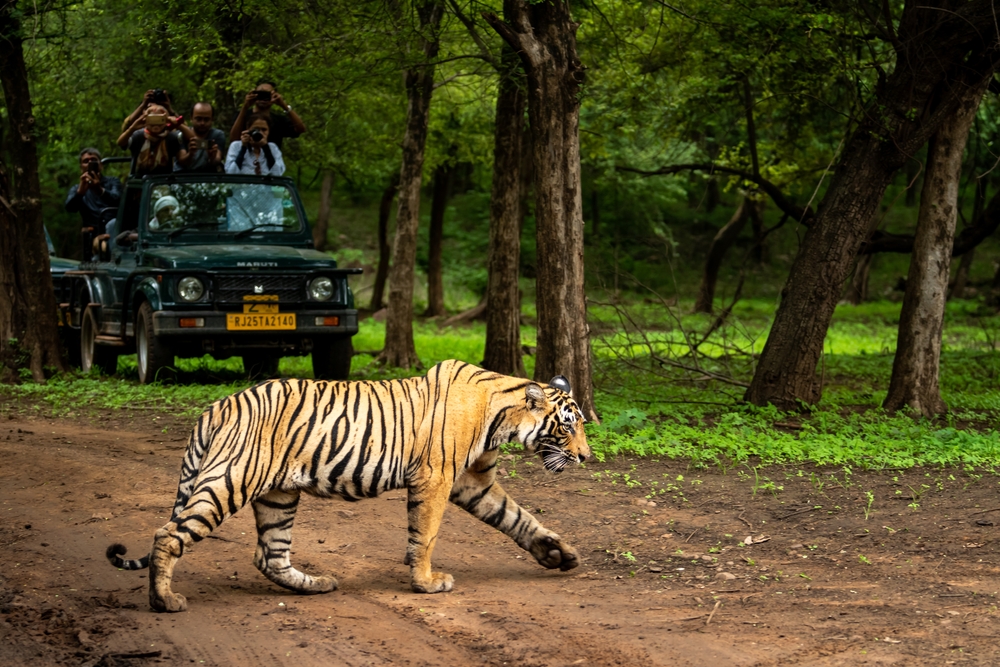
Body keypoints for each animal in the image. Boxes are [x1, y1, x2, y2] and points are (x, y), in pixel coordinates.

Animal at [105, 358, 588, 612]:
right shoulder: (436, 478)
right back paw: (164, 600)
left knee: (269, 555)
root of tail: (217, 406)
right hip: (230, 480)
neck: (503, 419)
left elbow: (518, 517)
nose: (585, 456)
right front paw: (426, 583)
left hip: (278, 495)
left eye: (581, 424)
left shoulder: (473, 482)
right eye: (567, 427)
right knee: (168, 534)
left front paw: (558, 554)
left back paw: (316, 585)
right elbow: (426, 534)